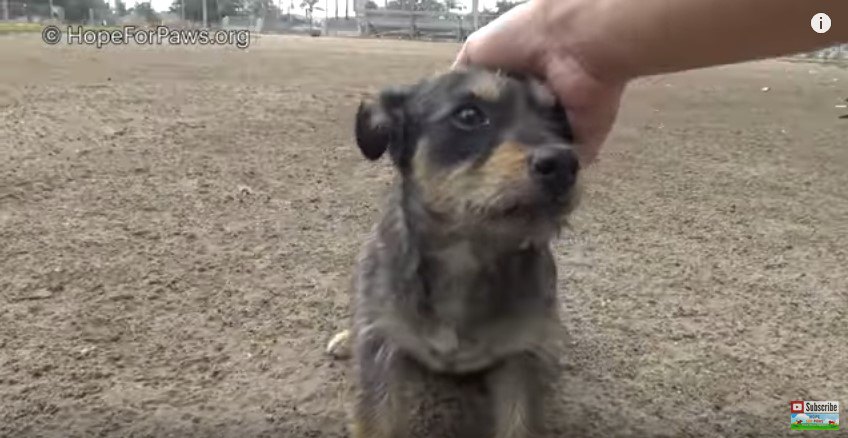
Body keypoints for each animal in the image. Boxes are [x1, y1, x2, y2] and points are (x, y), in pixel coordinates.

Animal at [328, 66, 580, 438]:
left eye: (559, 118)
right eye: (469, 115)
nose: (564, 163)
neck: (467, 253)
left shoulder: (523, 359)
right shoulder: (382, 350)